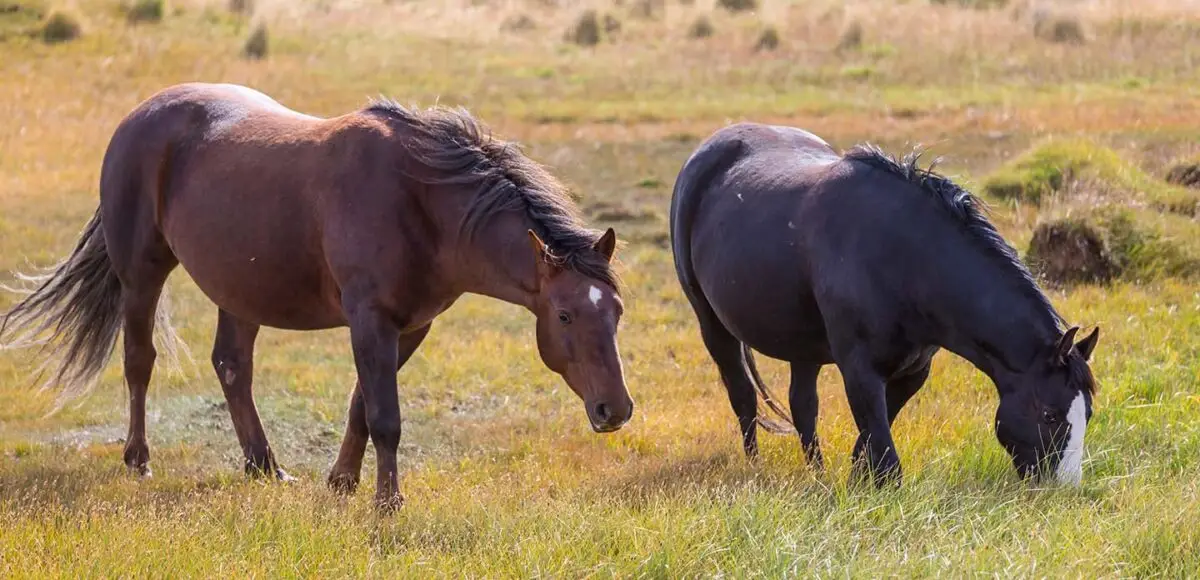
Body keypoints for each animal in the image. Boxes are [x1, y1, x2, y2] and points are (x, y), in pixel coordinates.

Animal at [0, 82, 634, 509]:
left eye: (617, 313)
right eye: (564, 314)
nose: (616, 410)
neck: (421, 200)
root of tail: (140, 115)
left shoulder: (410, 325)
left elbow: (360, 405)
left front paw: (343, 483)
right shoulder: (370, 319)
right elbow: (384, 415)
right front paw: (387, 503)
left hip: (240, 289)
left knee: (232, 367)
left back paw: (264, 466)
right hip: (142, 274)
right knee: (139, 362)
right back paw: (139, 461)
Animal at [669, 123, 1100, 486]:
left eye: (1088, 413)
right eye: (1049, 414)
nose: (1064, 487)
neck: (901, 258)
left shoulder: (913, 370)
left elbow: (871, 438)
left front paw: (855, 483)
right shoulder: (860, 369)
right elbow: (885, 455)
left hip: (803, 347)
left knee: (802, 406)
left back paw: (817, 475)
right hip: (712, 324)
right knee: (743, 396)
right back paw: (754, 467)